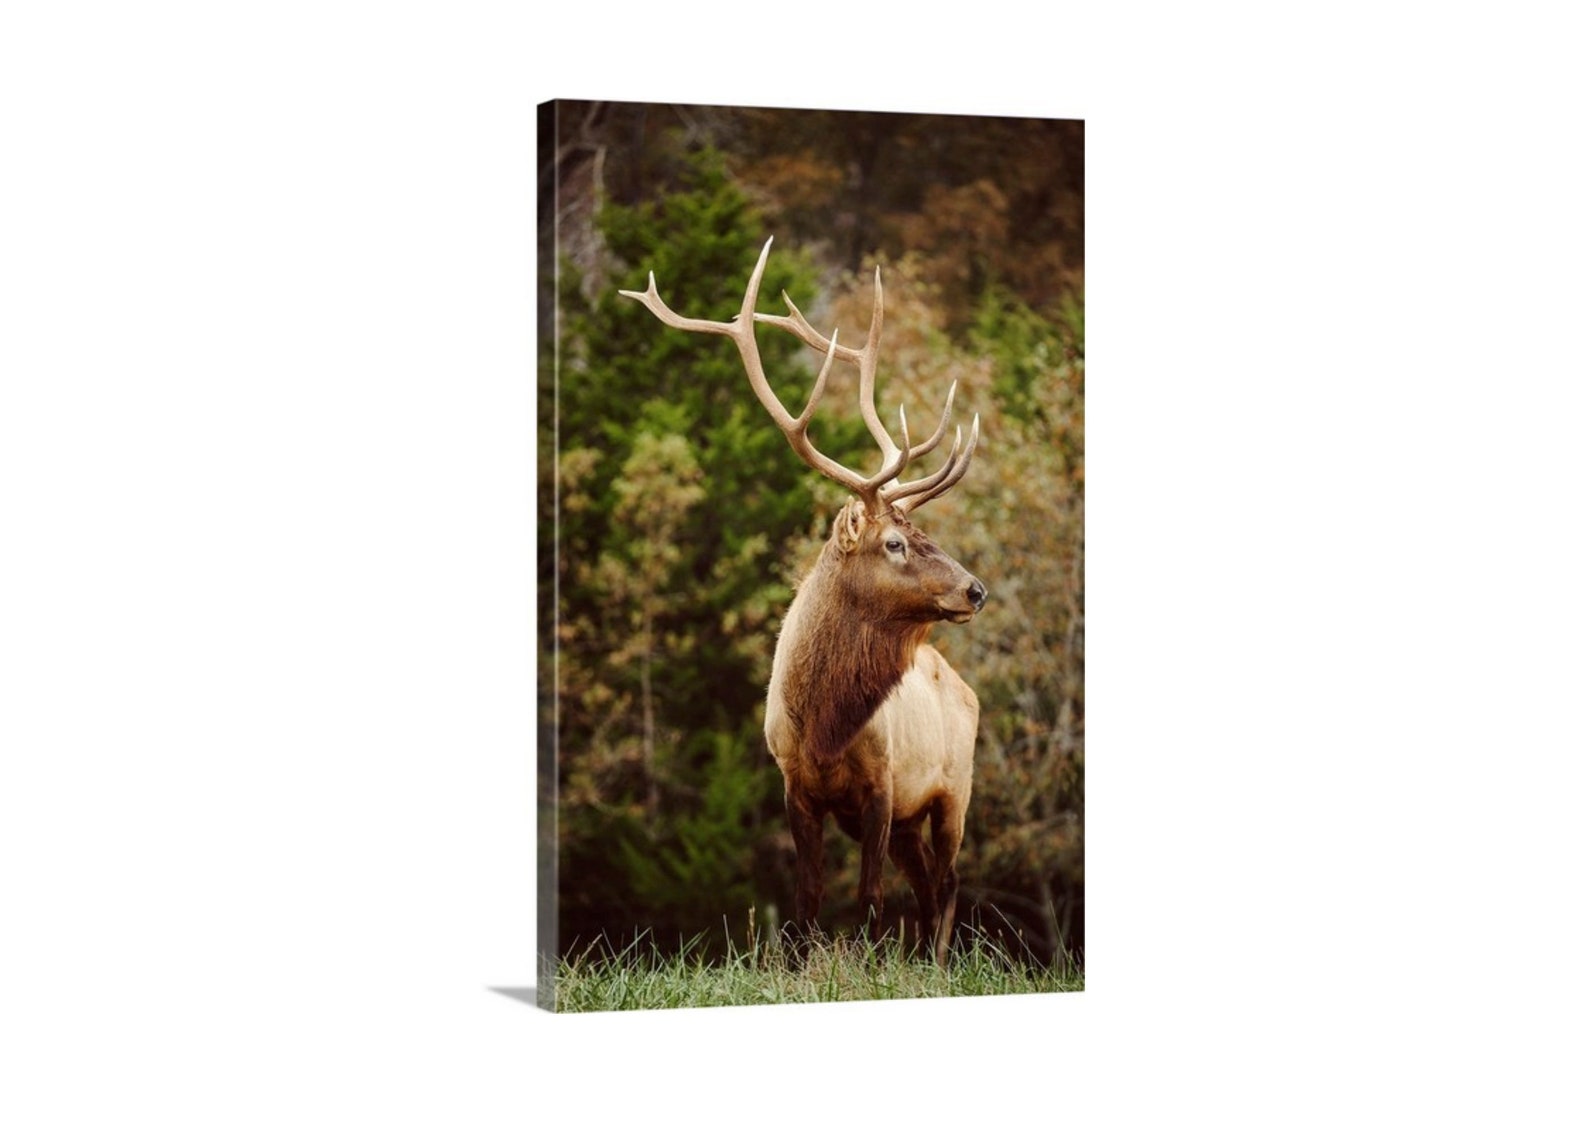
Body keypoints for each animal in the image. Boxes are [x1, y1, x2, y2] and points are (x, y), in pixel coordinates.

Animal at [620, 238, 985, 967]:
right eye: (896, 541)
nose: (975, 588)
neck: (823, 725)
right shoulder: (795, 787)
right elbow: (809, 898)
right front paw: (802, 966)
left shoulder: (883, 786)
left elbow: (869, 899)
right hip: (916, 816)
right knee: (929, 886)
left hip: (953, 789)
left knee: (950, 883)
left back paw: (937, 962)